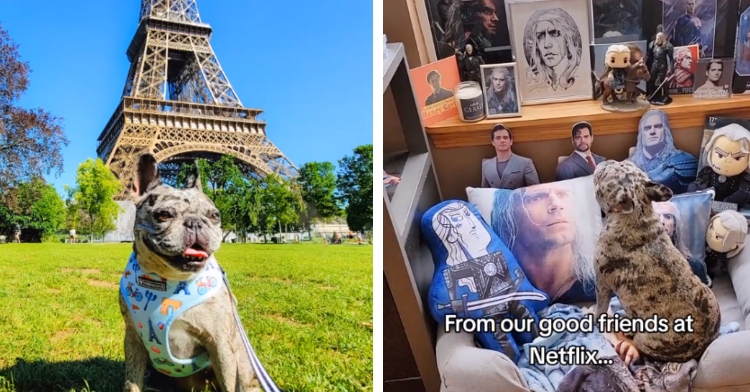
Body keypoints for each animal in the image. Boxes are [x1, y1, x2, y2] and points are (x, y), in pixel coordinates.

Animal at [117, 154, 258, 392]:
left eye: (215, 215)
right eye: (164, 215)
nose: (195, 222)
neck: (170, 281)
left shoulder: (220, 345)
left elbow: (228, 383)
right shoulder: (133, 339)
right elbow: (131, 382)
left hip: (243, 363)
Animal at [592, 158, 724, 364]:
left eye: (603, 174)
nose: (605, 161)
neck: (638, 215)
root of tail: (705, 345)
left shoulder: (601, 283)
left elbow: (600, 307)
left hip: (646, 339)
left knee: (638, 346)